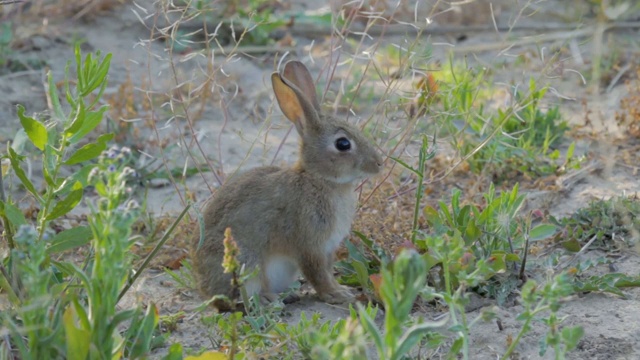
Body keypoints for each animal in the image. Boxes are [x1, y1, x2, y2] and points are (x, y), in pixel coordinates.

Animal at [189, 60, 380, 306]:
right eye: (343, 144)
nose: (379, 163)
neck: (318, 178)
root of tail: (205, 290)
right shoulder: (309, 244)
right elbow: (317, 274)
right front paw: (337, 295)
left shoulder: (327, 248)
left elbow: (326, 271)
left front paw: (340, 290)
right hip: (245, 262)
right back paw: (268, 299)